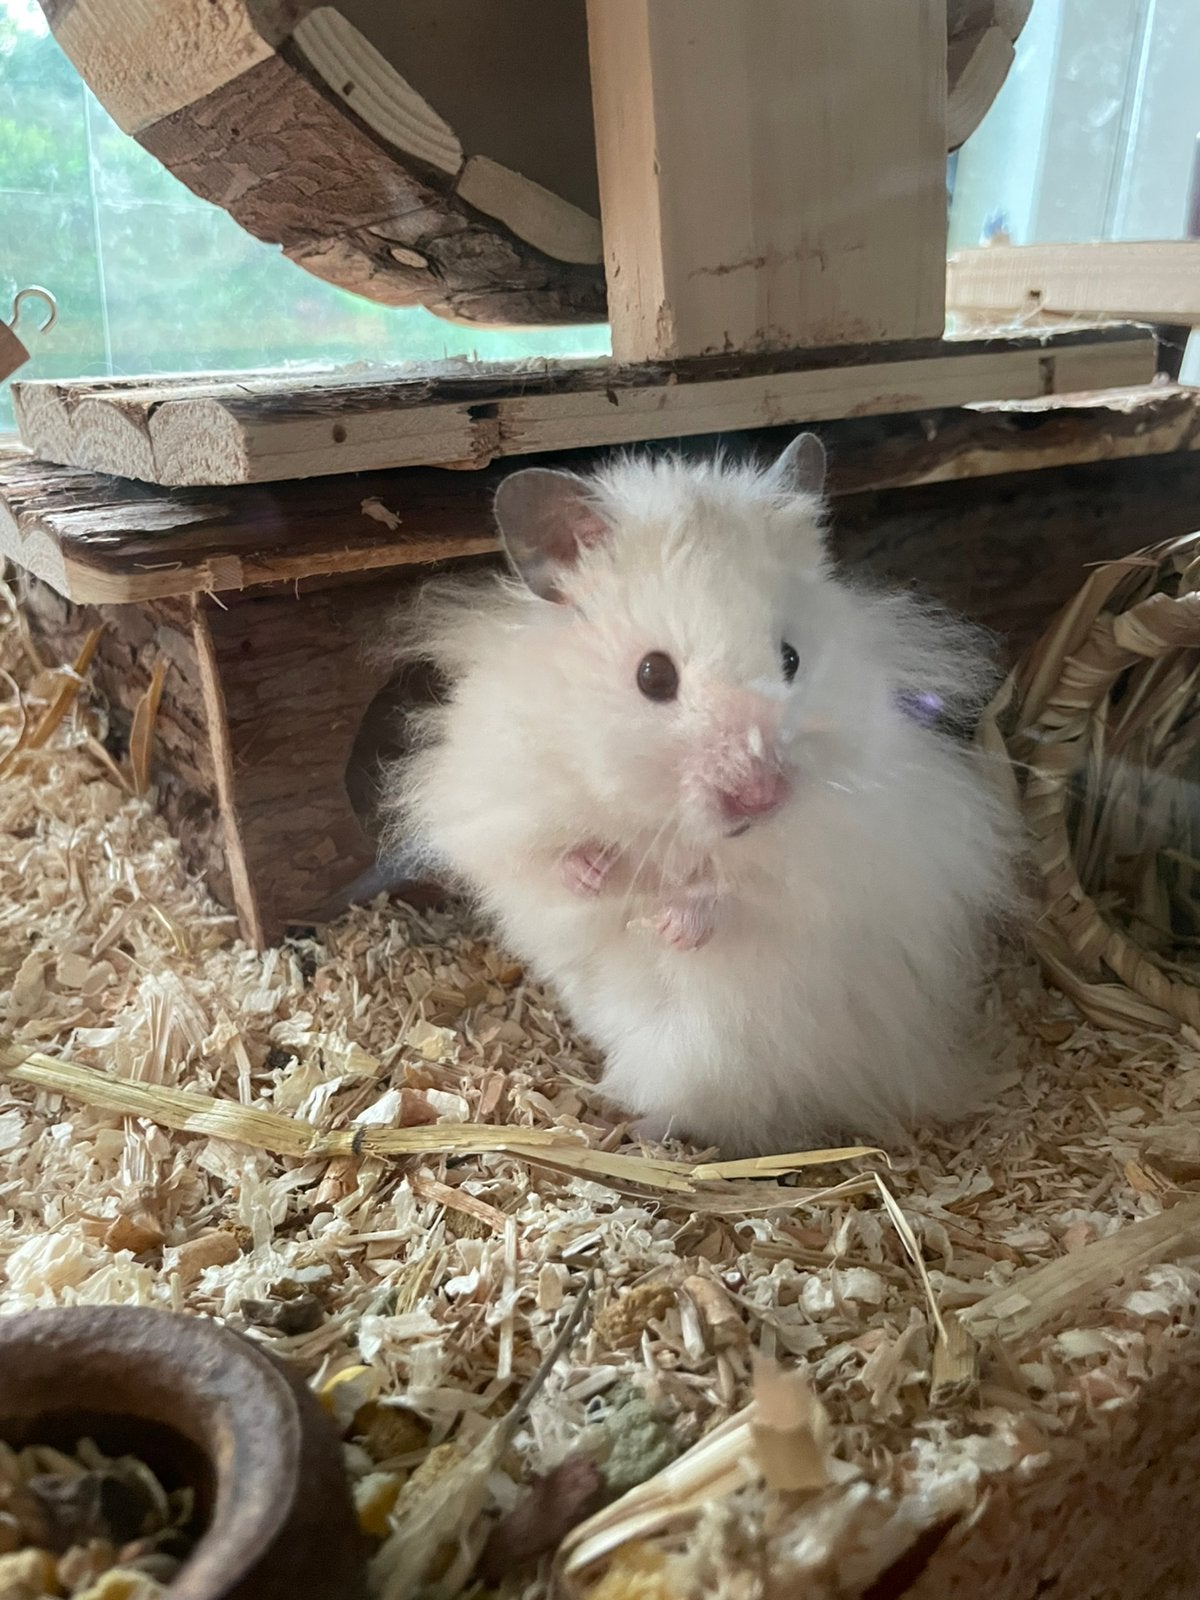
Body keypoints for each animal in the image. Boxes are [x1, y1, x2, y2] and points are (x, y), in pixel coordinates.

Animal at [383, 435, 1018, 1156]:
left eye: (792, 659)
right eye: (652, 674)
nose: (762, 796)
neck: (665, 819)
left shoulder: (843, 861)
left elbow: (743, 893)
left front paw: (669, 925)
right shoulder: (495, 800)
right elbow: (551, 860)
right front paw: (600, 878)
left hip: (712, 1055)